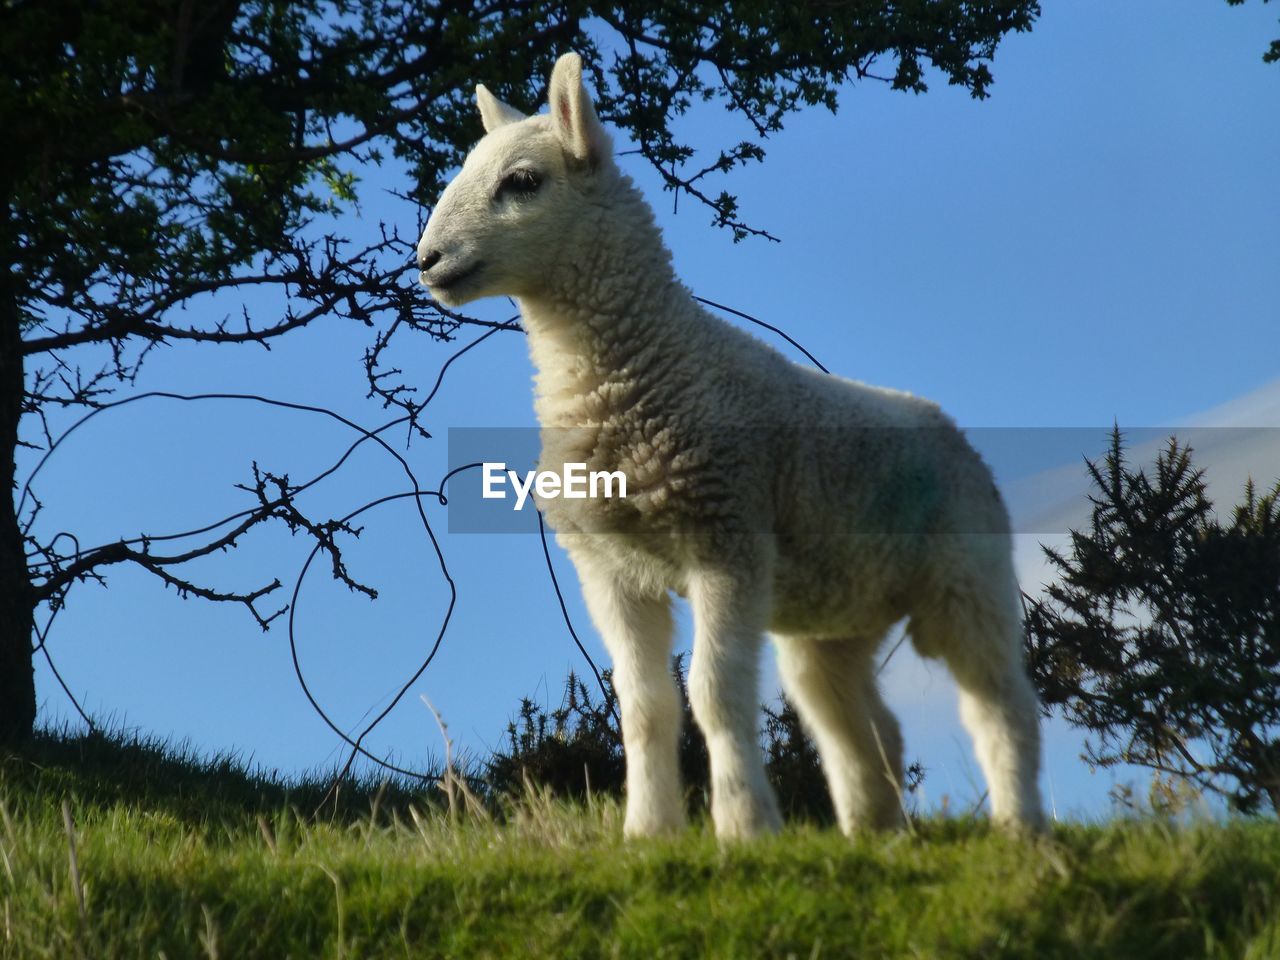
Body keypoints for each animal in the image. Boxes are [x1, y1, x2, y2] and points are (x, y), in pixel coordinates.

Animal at [414, 52, 1044, 839]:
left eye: (522, 181)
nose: (427, 259)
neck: (641, 366)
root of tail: (945, 424)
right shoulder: (608, 569)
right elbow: (644, 708)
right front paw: (648, 832)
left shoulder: (726, 537)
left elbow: (714, 695)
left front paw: (744, 827)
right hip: (831, 617)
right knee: (859, 723)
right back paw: (876, 834)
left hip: (967, 570)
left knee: (1000, 702)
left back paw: (1021, 830)